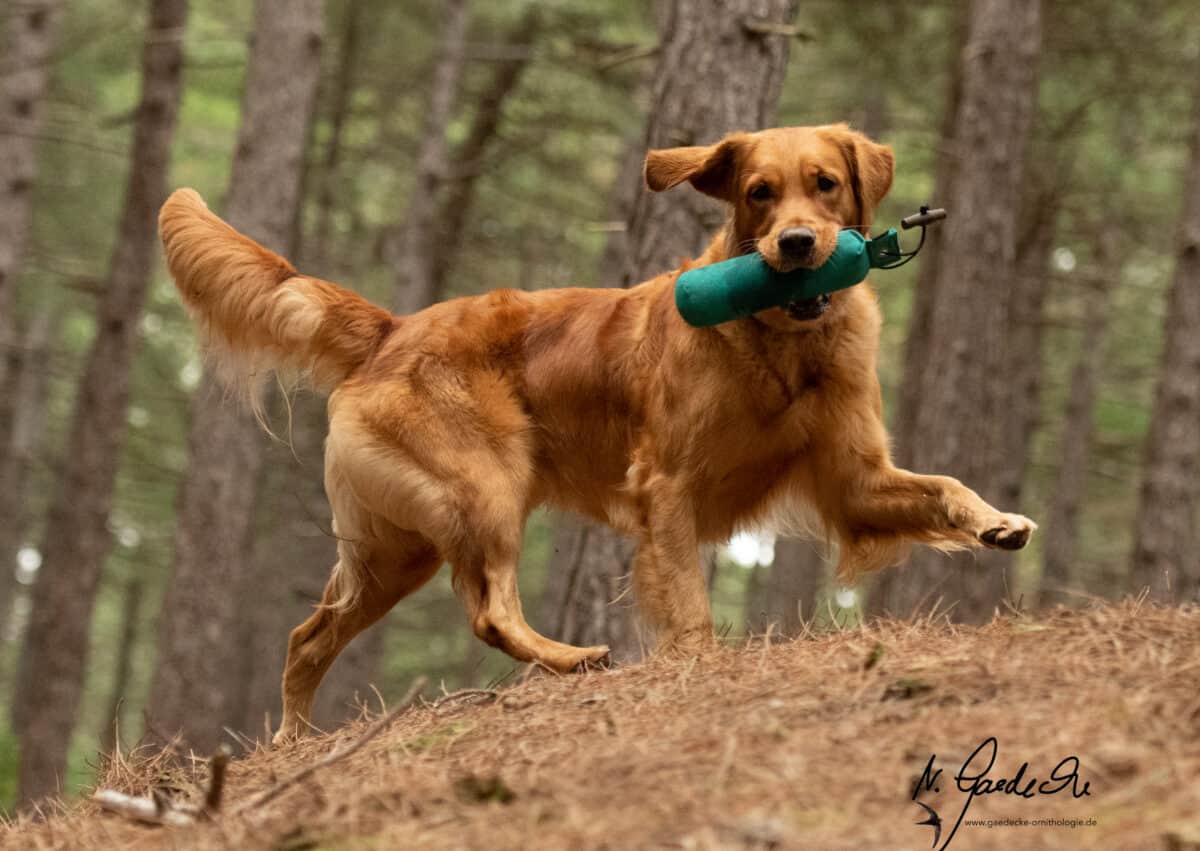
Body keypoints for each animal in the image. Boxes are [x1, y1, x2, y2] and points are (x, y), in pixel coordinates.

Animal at [159, 123, 1036, 739]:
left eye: (825, 184)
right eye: (759, 192)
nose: (795, 245)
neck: (779, 339)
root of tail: (392, 327)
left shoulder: (854, 479)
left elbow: (944, 485)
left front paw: (998, 522)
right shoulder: (666, 486)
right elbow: (686, 597)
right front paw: (697, 663)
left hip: (397, 548)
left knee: (308, 635)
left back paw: (292, 740)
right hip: (484, 489)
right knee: (488, 611)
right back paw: (572, 656)